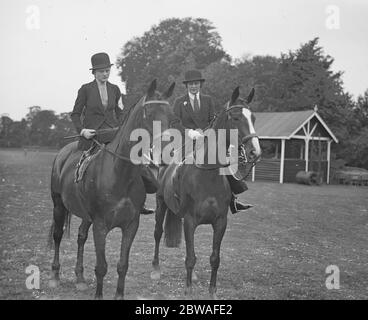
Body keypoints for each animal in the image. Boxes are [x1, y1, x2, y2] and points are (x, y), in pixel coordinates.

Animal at [48, 80, 175, 300]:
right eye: (149, 113)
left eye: (170, 114)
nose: (168, 151)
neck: (119, 173)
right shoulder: (100, 225)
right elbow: (101, 266)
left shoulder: (131, 225)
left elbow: (122, 265)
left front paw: (119, 295)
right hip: (59, 205)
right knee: (57, 235)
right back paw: (55, 276)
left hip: (85, 215)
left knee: (81, 237)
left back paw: (80, 279)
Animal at [150, 86, 262, 298]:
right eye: (235, 118)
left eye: (253, 117)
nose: (255, 152)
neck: (207, 174)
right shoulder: (190, 220)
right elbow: (190, 258)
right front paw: (188, 291)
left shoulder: (220, 222)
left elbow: (214, 258)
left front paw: (212, 292)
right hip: (161, 204)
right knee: (158, 233)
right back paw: (156, 270)